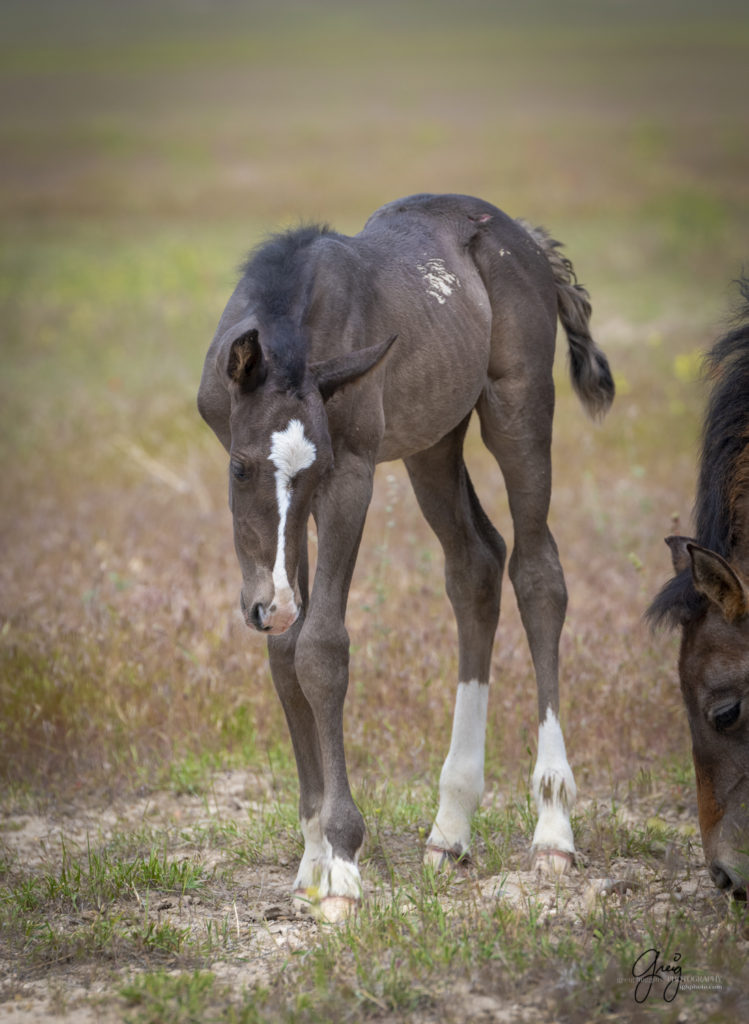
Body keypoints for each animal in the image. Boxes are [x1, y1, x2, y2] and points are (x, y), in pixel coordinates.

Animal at [198, 193, 614, 921]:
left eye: (315, 472)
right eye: (240, 468)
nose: (264, 606)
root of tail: (525, 238)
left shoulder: (350, 476)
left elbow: (321, 648)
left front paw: (340, 865)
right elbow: (286, 650)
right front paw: (310, 861)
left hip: (517, 404)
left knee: (538, 574)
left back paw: (552, 828)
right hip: (433, 442)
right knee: (476, 565)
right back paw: (450, 830)